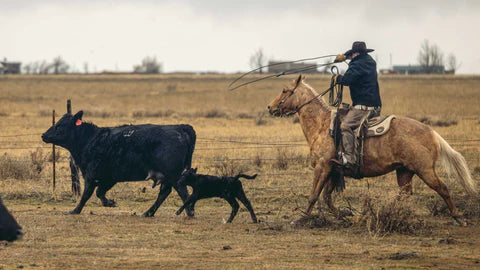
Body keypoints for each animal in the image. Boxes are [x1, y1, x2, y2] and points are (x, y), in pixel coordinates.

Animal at [42, 110, 196, 216]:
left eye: (60, 125)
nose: (44, 135)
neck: (90, 139)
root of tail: (180, 128)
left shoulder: (91, 175)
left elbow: (87, 194)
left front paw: (75, 210)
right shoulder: (109, 178)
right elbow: (99, 192)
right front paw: (110, 203)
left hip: (174, 175)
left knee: (181, 192)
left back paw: (189, 212)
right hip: (167, 176)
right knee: (165, 192)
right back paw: (148, 213)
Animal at [268, 75, 478, 225]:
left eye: (285, 90)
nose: (270, 107)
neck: (322, 125)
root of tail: (433, 132)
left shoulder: (322, 167)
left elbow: (314, 195)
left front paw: (301, 218)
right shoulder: (333, 170)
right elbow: (327, 198)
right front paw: (345, 213)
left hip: (425, 170)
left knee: (442, 189)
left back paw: (458, 217)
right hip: (404, 172)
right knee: (405, 195)